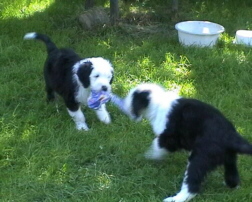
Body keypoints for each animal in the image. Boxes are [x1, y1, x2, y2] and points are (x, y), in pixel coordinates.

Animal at [121, 83, 252, 201]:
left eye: (132, 97)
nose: (123, 102)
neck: (158, 101)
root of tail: (230, 137)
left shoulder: (170, 137)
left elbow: (158, 144)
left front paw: (150, 155)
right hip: (229, 157)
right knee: (232, 173)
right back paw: (232, 185)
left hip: (200, 159)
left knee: (192, 185)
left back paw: (175, 198)